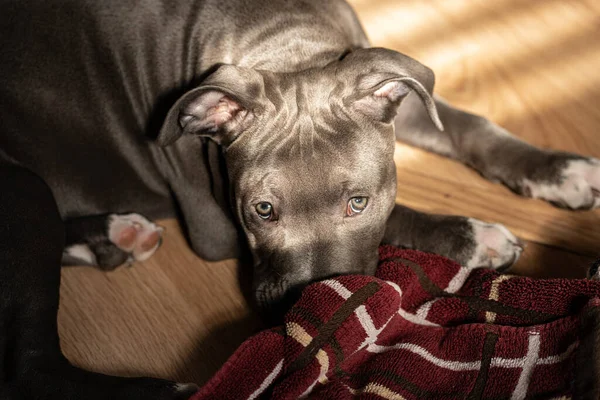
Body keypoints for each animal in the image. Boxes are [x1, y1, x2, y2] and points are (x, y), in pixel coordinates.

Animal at [1, 0, 600, 398]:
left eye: (356, 202)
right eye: (262, 210)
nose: (306, 310)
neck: (284, 42)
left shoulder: (396, 95)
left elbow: (469, 126)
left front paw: (558, 169)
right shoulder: (214, 223)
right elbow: (403, 213)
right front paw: (475, 236)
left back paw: (112, 237)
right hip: (25, 192)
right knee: (30, 367)